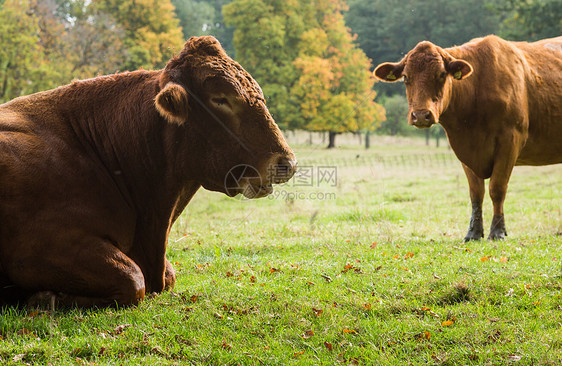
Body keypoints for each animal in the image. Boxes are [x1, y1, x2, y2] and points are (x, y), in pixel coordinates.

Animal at [0, 36, 296, 306]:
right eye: (220, 99)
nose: (287, 164)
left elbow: (166, 275)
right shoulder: (39, 247)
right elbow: (133, 279)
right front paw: (43, 296)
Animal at [372, 34, 560, 240]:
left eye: (441, 74)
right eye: (406, 77)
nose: (421, 115)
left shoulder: (510, 140)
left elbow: (497, 188)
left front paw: (498, 231)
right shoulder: (464, 149)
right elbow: (476, 193)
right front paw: (474, 232)